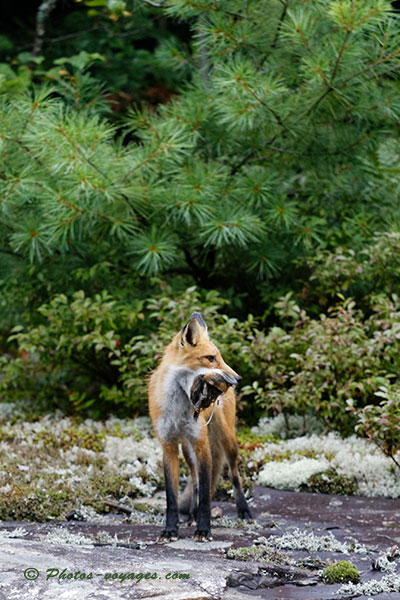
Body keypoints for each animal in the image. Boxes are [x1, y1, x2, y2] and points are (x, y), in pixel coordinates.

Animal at [147, 312, 253, 540]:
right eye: (210, 358)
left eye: (219, 357)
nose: (237, 378)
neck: (178, 407)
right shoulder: (168, 445)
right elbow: (172, 498)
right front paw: (170, 530)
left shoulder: (201, 442)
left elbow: (206, 495)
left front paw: (204, 529)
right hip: (187, 449)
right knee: (194, 479)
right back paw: (191, 515)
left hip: (227, 440)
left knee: (234, 474)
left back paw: (244, 510)